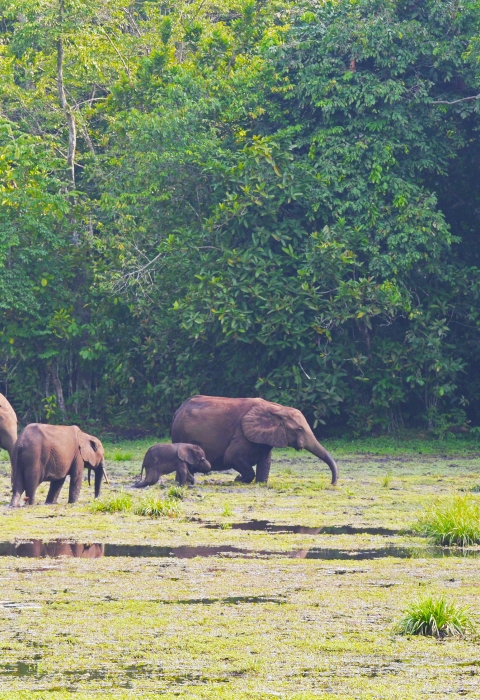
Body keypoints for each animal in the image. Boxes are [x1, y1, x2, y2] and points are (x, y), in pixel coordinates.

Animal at [171, 395, 338, 485]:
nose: (332, 483)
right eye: (299, 430)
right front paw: (238, 479)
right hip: (180, 433)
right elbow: (231, 456)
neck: (277, 409)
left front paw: (257, 481)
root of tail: (178, 410)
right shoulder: (242, 432)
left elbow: (265, 463)